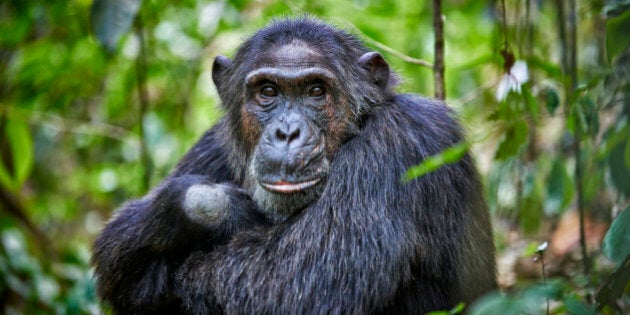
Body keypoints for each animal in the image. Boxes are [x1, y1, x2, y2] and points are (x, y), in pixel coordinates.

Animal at [92, 17, 498, 315]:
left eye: (316, 91)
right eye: (268, 92)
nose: (288, 132)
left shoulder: (403, 139)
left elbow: (294, 287)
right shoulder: (211, 146)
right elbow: (117, 246)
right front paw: (220, 206)